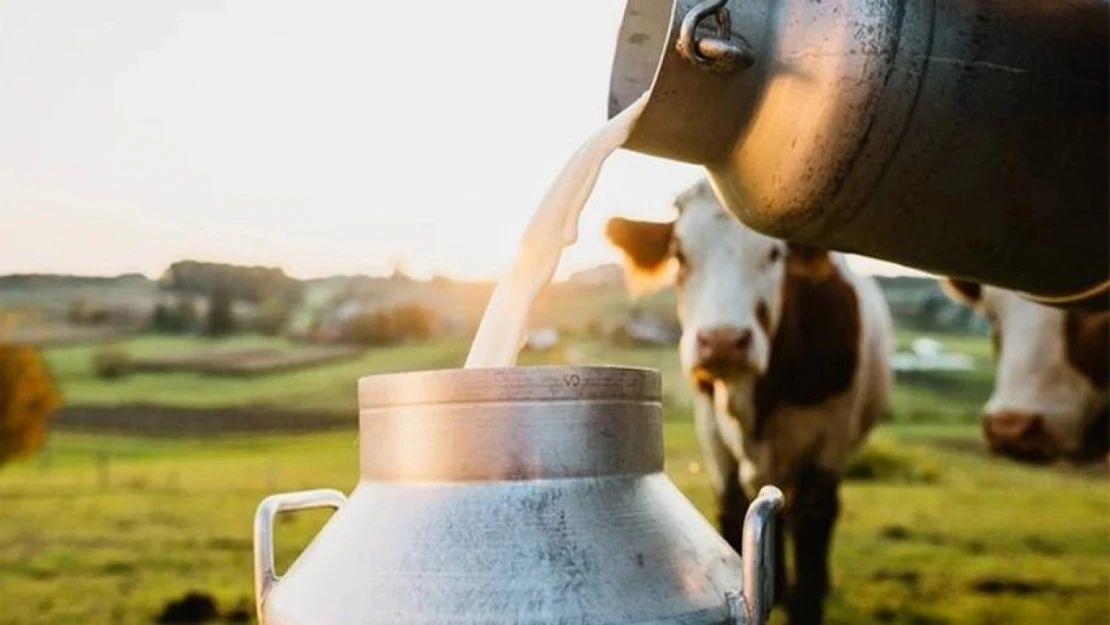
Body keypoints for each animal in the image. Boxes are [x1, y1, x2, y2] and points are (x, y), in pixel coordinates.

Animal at [608, 180, 892, 625]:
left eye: (774, 254)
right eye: (679, 254)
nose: (723, 341)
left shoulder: (829, 438)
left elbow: (812, 527)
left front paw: (805, 595)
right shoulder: (712, 435)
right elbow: (731, 514)